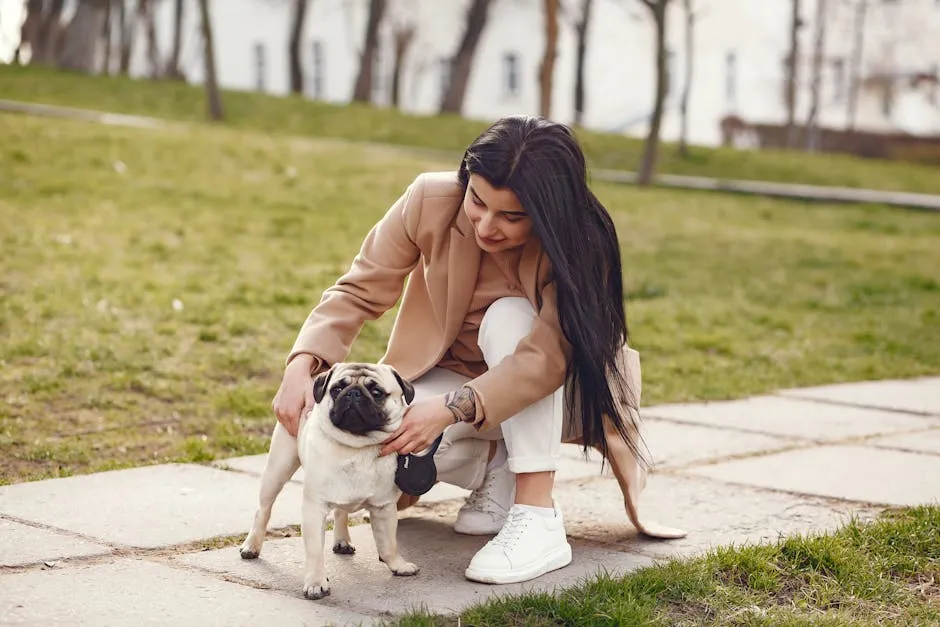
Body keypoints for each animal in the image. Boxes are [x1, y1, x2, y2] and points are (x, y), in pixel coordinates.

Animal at [239, 364, 418, 600]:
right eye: (337, 389)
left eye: (377, 392)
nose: (353, 393)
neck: (356, 447)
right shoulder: (314, 510)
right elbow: (315, 552)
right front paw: (316, 583)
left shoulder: (384, 507)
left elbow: (389, 544)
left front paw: (398, 565)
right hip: (277, 470)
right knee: (263, 510)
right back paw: (251, 546)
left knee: (341, 512)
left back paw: (342, 541)